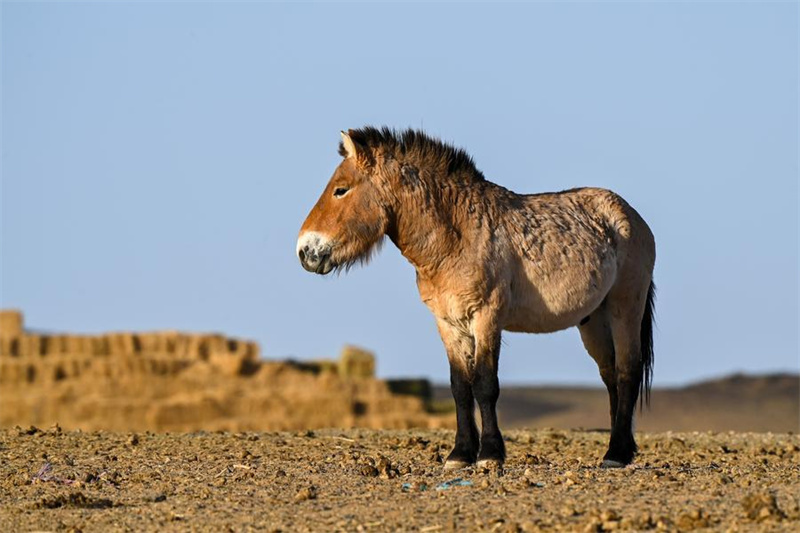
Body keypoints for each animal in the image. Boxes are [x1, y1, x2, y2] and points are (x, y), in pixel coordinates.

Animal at [297, 127, 656, 469]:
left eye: (341, 189)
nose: (305, 251)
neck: (456, 236)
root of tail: (628, 214)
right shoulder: (447, 323)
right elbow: (460, 386)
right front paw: (460, 454)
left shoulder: (486, 318)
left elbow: (484, 384)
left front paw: (490, 454)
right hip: (593, 320)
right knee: (610, 375)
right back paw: (619, 448)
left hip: (625, 307)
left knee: (627, 371)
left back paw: (617, 453)